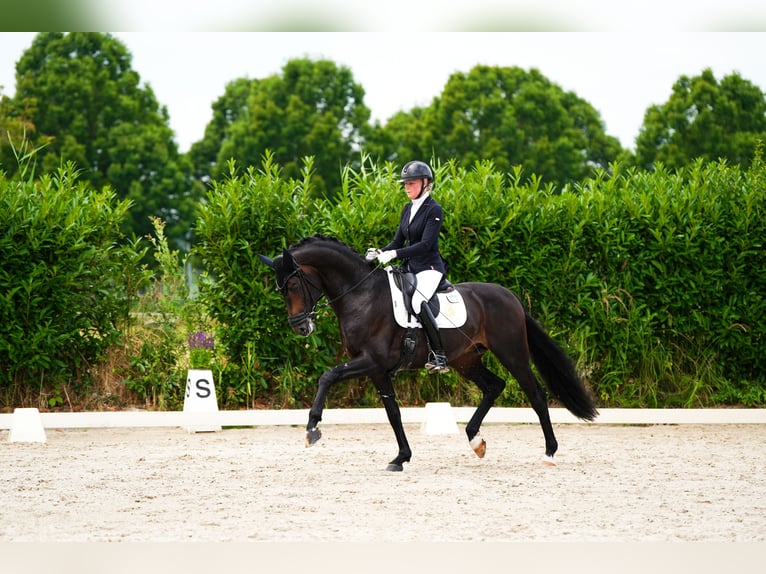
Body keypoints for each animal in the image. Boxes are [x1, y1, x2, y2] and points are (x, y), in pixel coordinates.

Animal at [260, 234, 604, 472]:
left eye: (293, 285)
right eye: (280, 288)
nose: (300, 327)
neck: (361, 295)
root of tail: (510, 296)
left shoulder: (371, 361)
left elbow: (328, 376)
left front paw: (312, 429)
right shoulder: (376, 370)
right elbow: (393, 413)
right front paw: (401, 457)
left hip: (513, 354)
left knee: (536, 395)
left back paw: (549, 453)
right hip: (466, 359)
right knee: (494, 386)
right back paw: (475, 440)